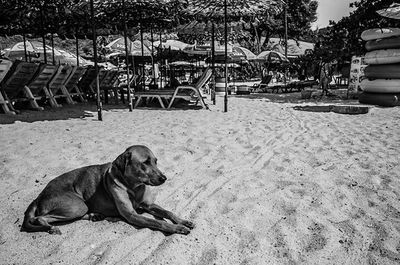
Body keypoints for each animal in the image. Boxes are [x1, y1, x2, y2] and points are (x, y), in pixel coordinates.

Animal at [21, 145, 195, 234]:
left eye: (156, 161)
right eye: (145, 162)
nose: (164, 178)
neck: (133, 186)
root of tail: (39, 196)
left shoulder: (149, 205)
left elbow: (168, 212)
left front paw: (182, 220)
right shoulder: (132, 215)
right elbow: (157, 222)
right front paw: (176, 228)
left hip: (79, 207)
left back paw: (94, 215)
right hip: (76, 206)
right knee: (39, 218)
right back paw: (50, 227)